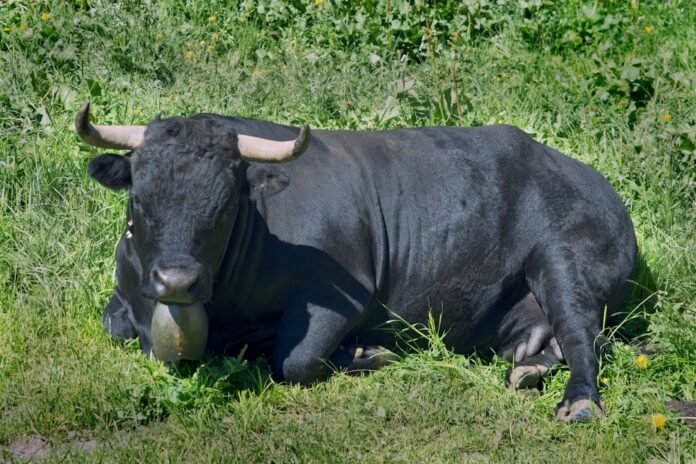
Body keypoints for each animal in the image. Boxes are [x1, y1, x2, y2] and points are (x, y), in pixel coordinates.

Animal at [76, 101, 636, 421]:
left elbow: (295, 360)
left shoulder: (341, 294)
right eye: (139, 200)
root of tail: (597, 181)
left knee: (580, 336)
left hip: (563, 259)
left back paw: (578, 402)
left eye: (226, 205)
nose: (177, 281)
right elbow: (113, 324)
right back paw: (529, 369)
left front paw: (366, 353)